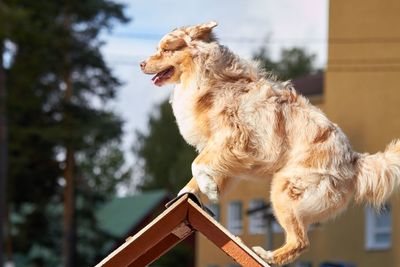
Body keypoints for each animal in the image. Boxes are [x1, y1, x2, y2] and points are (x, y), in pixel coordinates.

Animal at [141, 21, 400, 266]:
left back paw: (266, 256)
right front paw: (186, 195)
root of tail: (354, 160)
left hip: (283, 190)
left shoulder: (233, 139)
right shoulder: (224, 153)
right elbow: (198, 172)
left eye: (166, 49)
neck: (208, 76)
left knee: (300, 241)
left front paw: (210, 188)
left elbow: (197, 164)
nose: (141, 64)